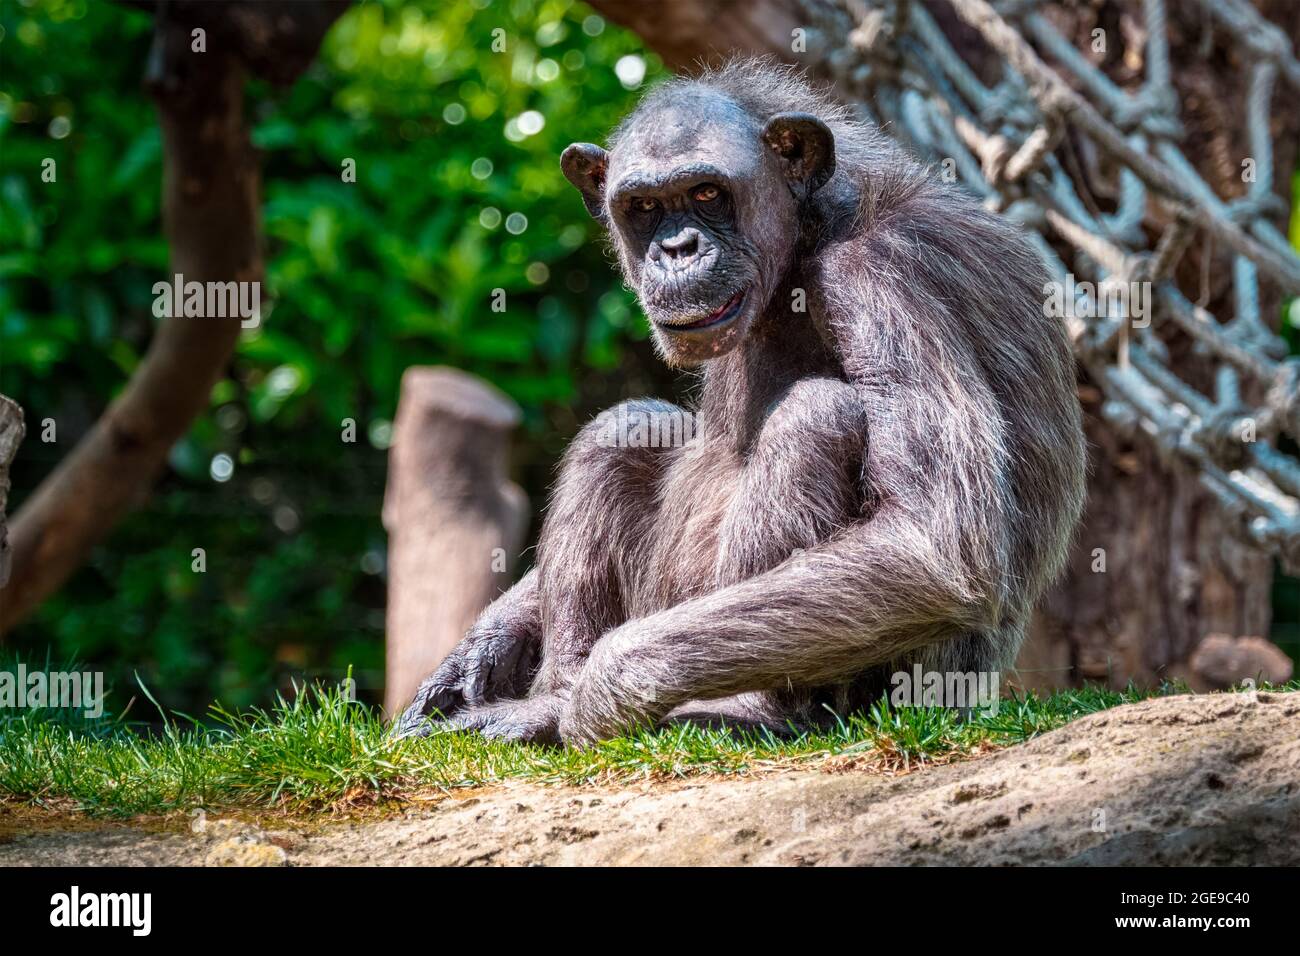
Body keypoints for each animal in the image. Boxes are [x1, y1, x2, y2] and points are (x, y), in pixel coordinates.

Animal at [397, 57, 1086, 746]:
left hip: (901, 692)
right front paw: (482, 648)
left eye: (707, 194)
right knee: (625, 428)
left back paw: (733, 707)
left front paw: (603, 691)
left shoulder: (880, 277)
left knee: (816, 415)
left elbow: (935, 540)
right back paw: (551, 690)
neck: (813, 232)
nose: (677, 248)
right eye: (643, 206)